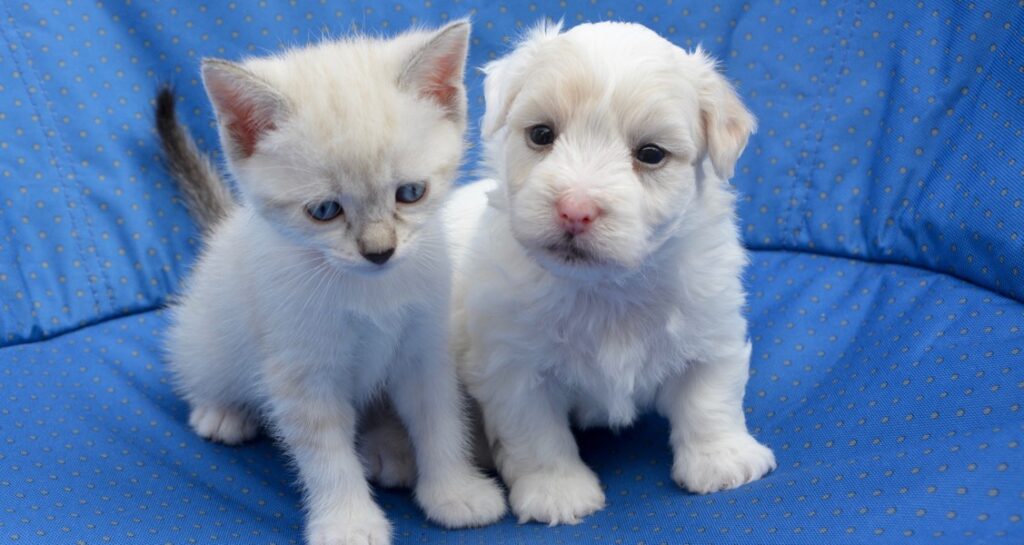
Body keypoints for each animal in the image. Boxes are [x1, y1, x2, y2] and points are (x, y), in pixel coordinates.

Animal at [157, 20, 505, 540]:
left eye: (410, 193)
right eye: (324, 211)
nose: (379, 251)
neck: (369, 290)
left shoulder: (425, 347)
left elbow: (440, 421)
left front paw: (454, 492)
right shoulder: (302, 373)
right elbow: (327, 457)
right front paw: (349, 522)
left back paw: (389, 449)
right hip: (208, 336)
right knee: (203, 368)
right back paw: (222, 412)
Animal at [448, 21, 774, 524]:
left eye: (651, 154)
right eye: (541, 134)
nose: (575, 209)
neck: (606, 287)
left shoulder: (710, 326)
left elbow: (710, 398)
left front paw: (722, 461)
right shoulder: (512, 365)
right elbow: (535, 434)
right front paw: (557, 492)